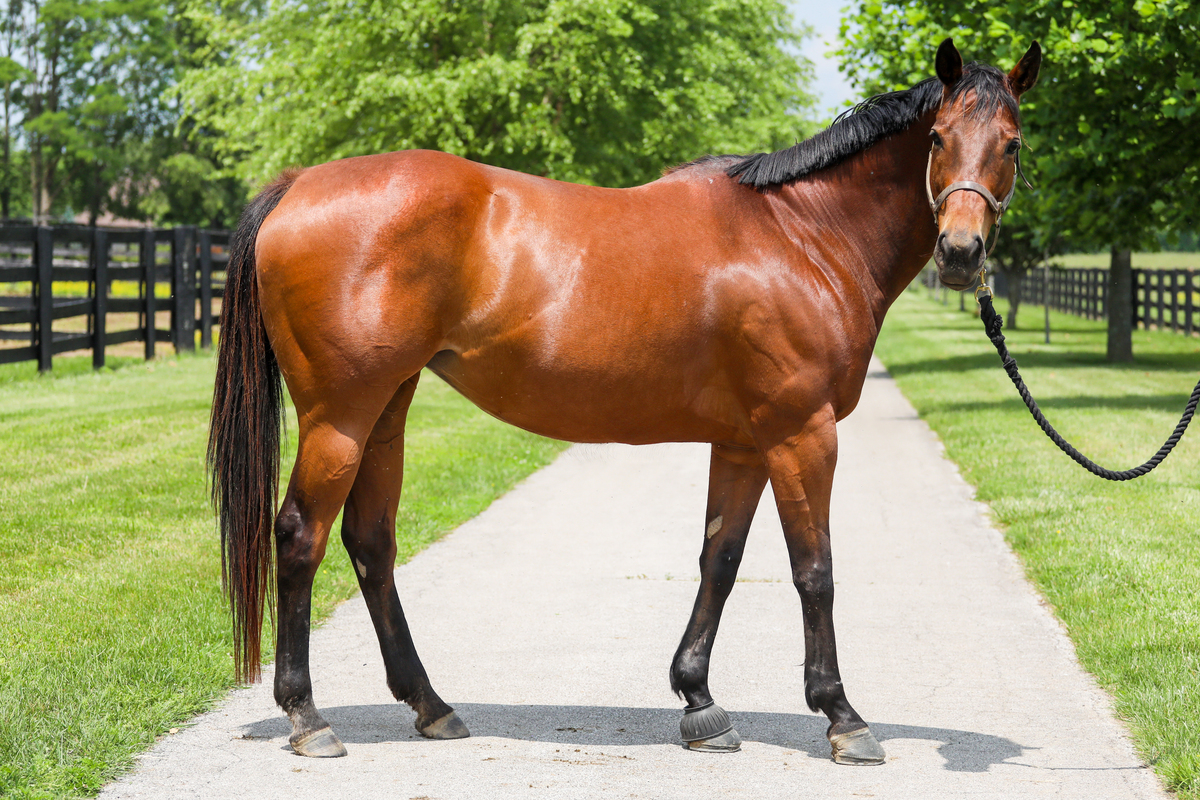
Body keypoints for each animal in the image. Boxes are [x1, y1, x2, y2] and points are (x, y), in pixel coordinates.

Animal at [208, 37, 1041, 766]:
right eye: (936, 138)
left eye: (1011, 144)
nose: (960, 253)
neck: (802, 235)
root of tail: (299, 183)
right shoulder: (801, 435)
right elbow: (815, 570)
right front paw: (842, 717)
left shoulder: (745, 442)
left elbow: (720, 560)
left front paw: (699, 702)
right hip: (340, 416)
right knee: (300, 536)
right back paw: (308, 717)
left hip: (385, 410)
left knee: (370, 542)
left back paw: (432, 706)